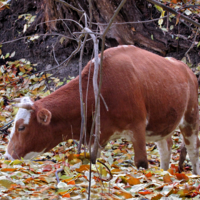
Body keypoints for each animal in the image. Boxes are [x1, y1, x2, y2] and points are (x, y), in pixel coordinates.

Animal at [4, 44, 200, 174]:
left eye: (21, 127)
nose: (6, 157)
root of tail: (185, 68)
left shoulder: (137, 128)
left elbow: (141, 163)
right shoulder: (96, 136)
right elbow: (92, 161)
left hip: (190, 119)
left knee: (193, 151)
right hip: (162, 124)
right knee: (166, 148)